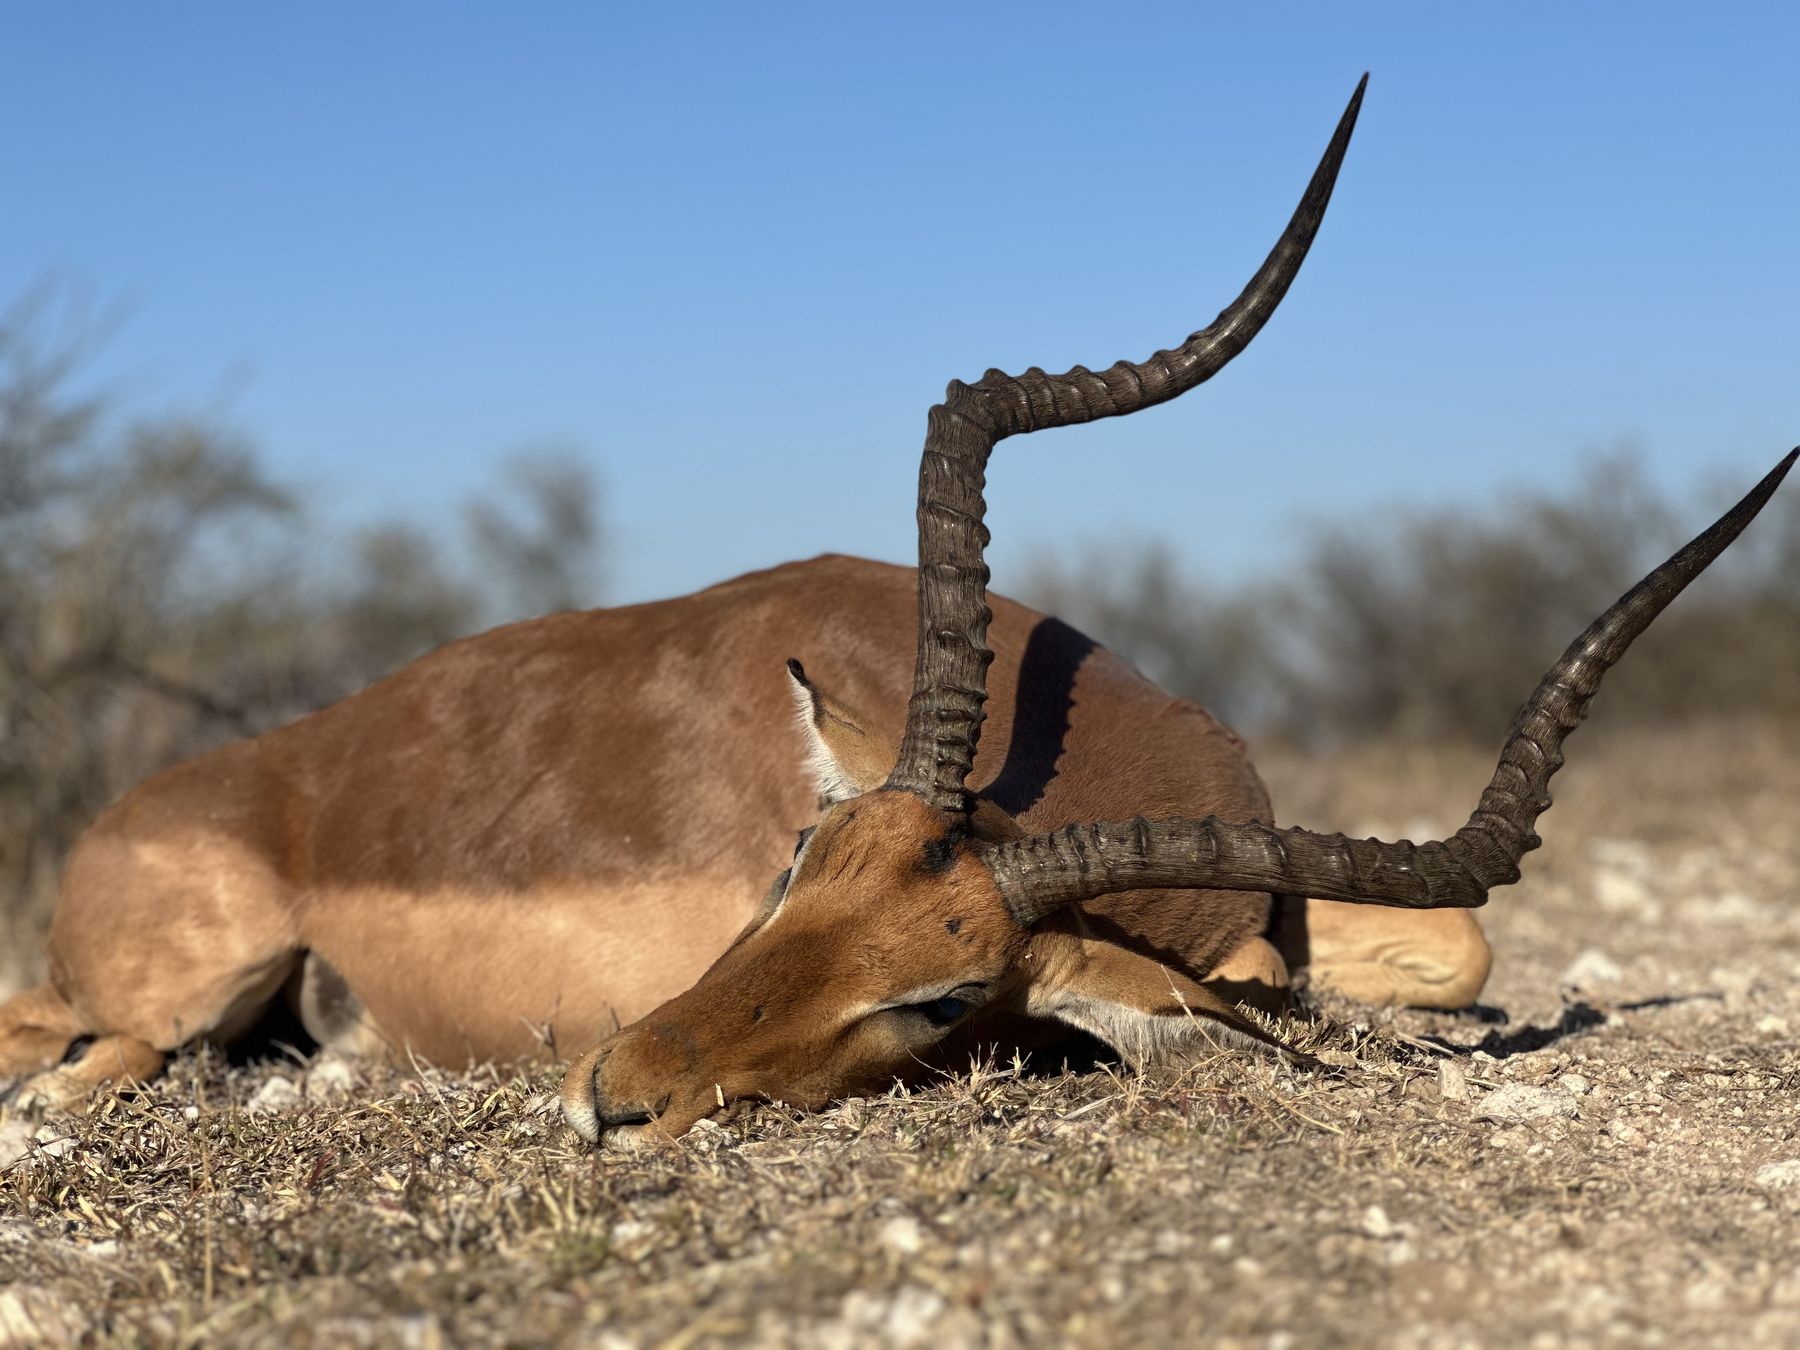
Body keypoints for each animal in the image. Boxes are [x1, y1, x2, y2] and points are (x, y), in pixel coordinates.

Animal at [0, 80, 1792, 1150]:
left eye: (940, 993)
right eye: (798, 861)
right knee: (83, 1059)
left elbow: (1456, 947)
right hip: (170, 994)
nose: (615, 1094)